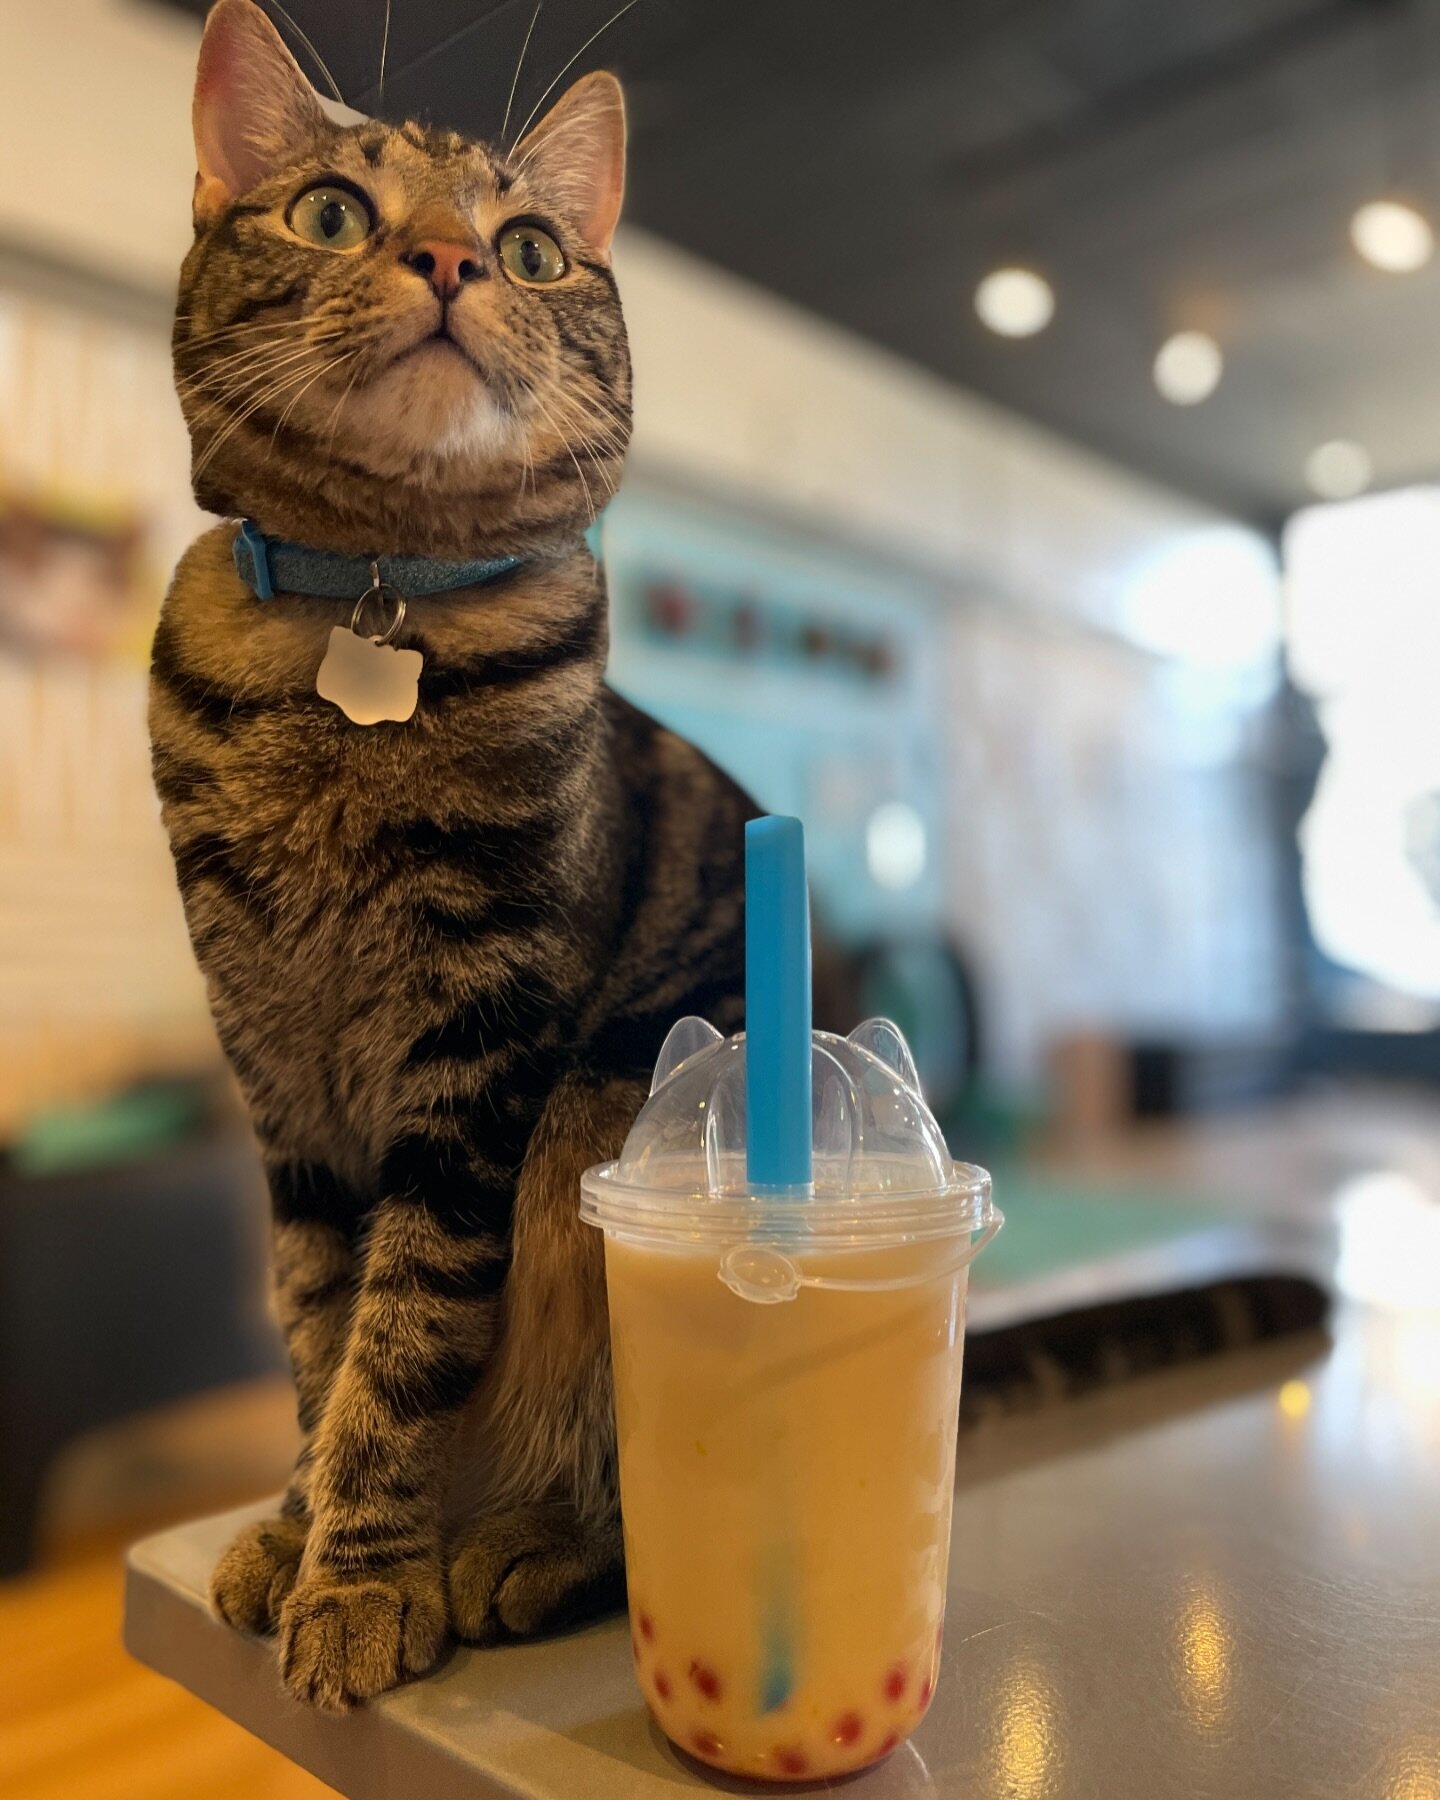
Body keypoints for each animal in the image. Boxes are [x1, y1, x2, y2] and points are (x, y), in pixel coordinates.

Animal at [152, 3, 752, 1713]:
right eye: (331, 213)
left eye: (533, 247)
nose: (448, 261)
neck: (368, 606)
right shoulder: (277, 1075)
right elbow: (317, 1329)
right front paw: (302, 1526)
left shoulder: (475, 1050)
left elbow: (405, 1330)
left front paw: (362, 1578)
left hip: (603, 1106)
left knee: (655, 1496)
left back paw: (528, 1547)